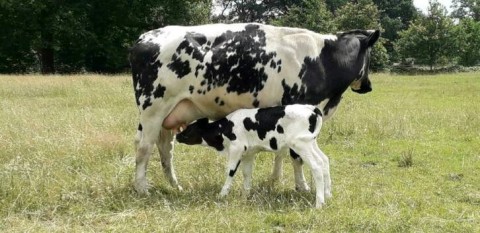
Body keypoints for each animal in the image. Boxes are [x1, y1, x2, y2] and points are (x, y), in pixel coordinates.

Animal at [130, 22, 378, 194]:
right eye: (370, 56)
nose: (368, 86)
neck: (322, 59)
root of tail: (146, 36)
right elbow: (295, 156)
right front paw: (302, 186)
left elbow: (281, 151)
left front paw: (275, 180)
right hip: (153, 109)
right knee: (144, 147)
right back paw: (142, 188)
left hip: (170, 114)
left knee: (165, 149)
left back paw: (175, 186)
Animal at [175, 104, 330, 208]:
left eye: (189, 129)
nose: (177, 136)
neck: (225, 129)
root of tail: (312, 109)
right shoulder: (248, 153)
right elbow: (247, 173)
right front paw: (245, 195)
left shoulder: (236, 149)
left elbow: (230, 171)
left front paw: (222, 194)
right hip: (310, 143)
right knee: (324, 161)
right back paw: (328, 195)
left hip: (300, 144)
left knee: (316, 166)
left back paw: (319, 203)